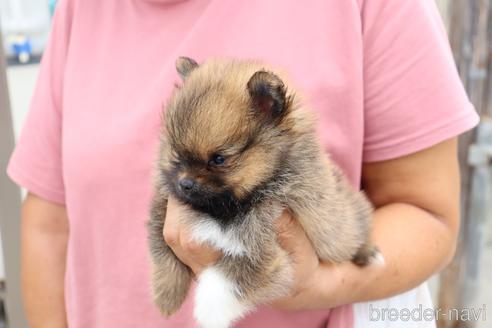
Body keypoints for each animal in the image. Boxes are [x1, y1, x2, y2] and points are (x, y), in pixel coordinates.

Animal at [146, 57, 380, 328]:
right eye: (177, 154)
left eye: (219, 159)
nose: (185, 184)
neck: (226, 207)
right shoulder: (164, 210)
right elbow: (162, 250)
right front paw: (167, 296)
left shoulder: (263, 247)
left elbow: (227, 281)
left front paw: (206, 313)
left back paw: (369, 255)